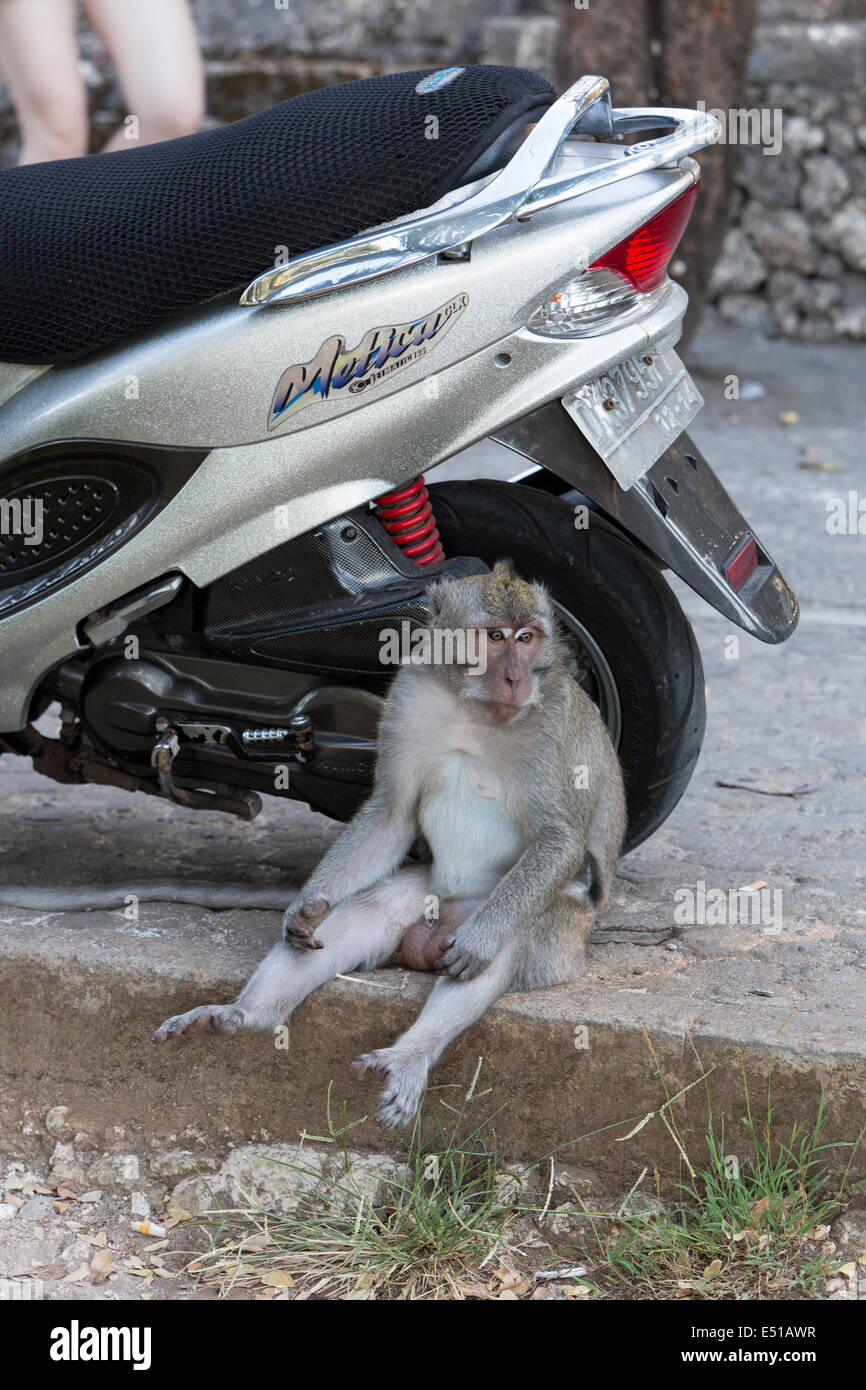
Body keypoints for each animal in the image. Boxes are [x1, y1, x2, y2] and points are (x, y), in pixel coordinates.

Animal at [152, 561, 625, 1128]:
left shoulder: (552, 719)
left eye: (527, 638)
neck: (472, 708)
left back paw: (410, 1053)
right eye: (494, 637)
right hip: (423, 895)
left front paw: (480, 944)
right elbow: (391, 813)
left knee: (509, 941)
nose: (515, 678)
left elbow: (558, 838)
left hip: (557, 935)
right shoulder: (408, 695)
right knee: (358, 918)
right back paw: (241, 1016)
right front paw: (305, 906)